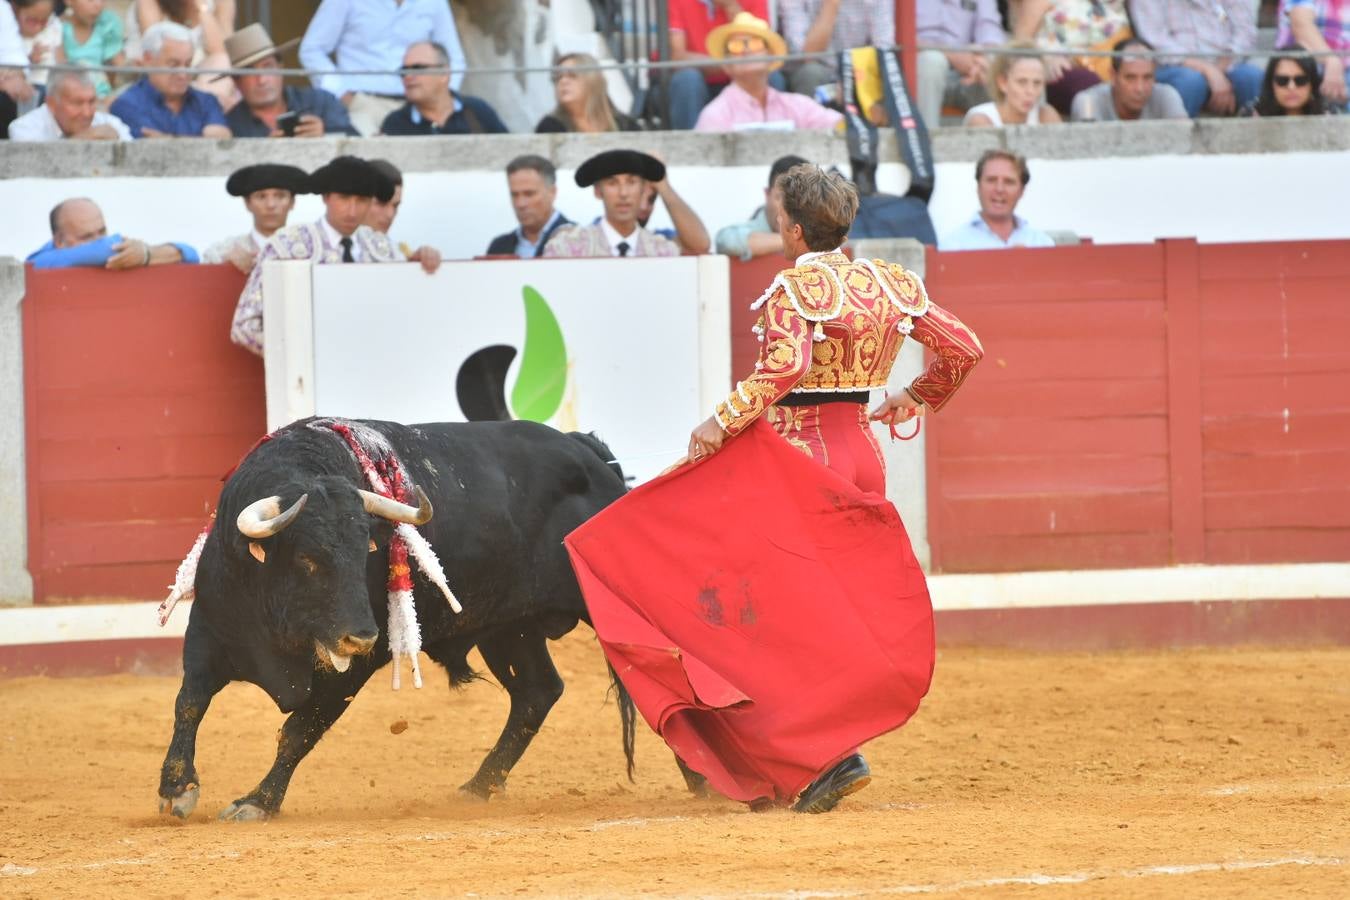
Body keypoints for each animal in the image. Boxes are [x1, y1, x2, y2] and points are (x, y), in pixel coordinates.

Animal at [157, 418, 669, 820]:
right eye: (307, 558)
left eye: (365, 551)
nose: (361, 636)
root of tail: (587, 451)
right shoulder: (209, 631)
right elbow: (189, 704)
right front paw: (176, 789)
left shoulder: (355, 669)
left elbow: (300, 730)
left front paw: (258, 802)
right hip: (510, 629)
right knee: (537, 692)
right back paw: (478, 787)